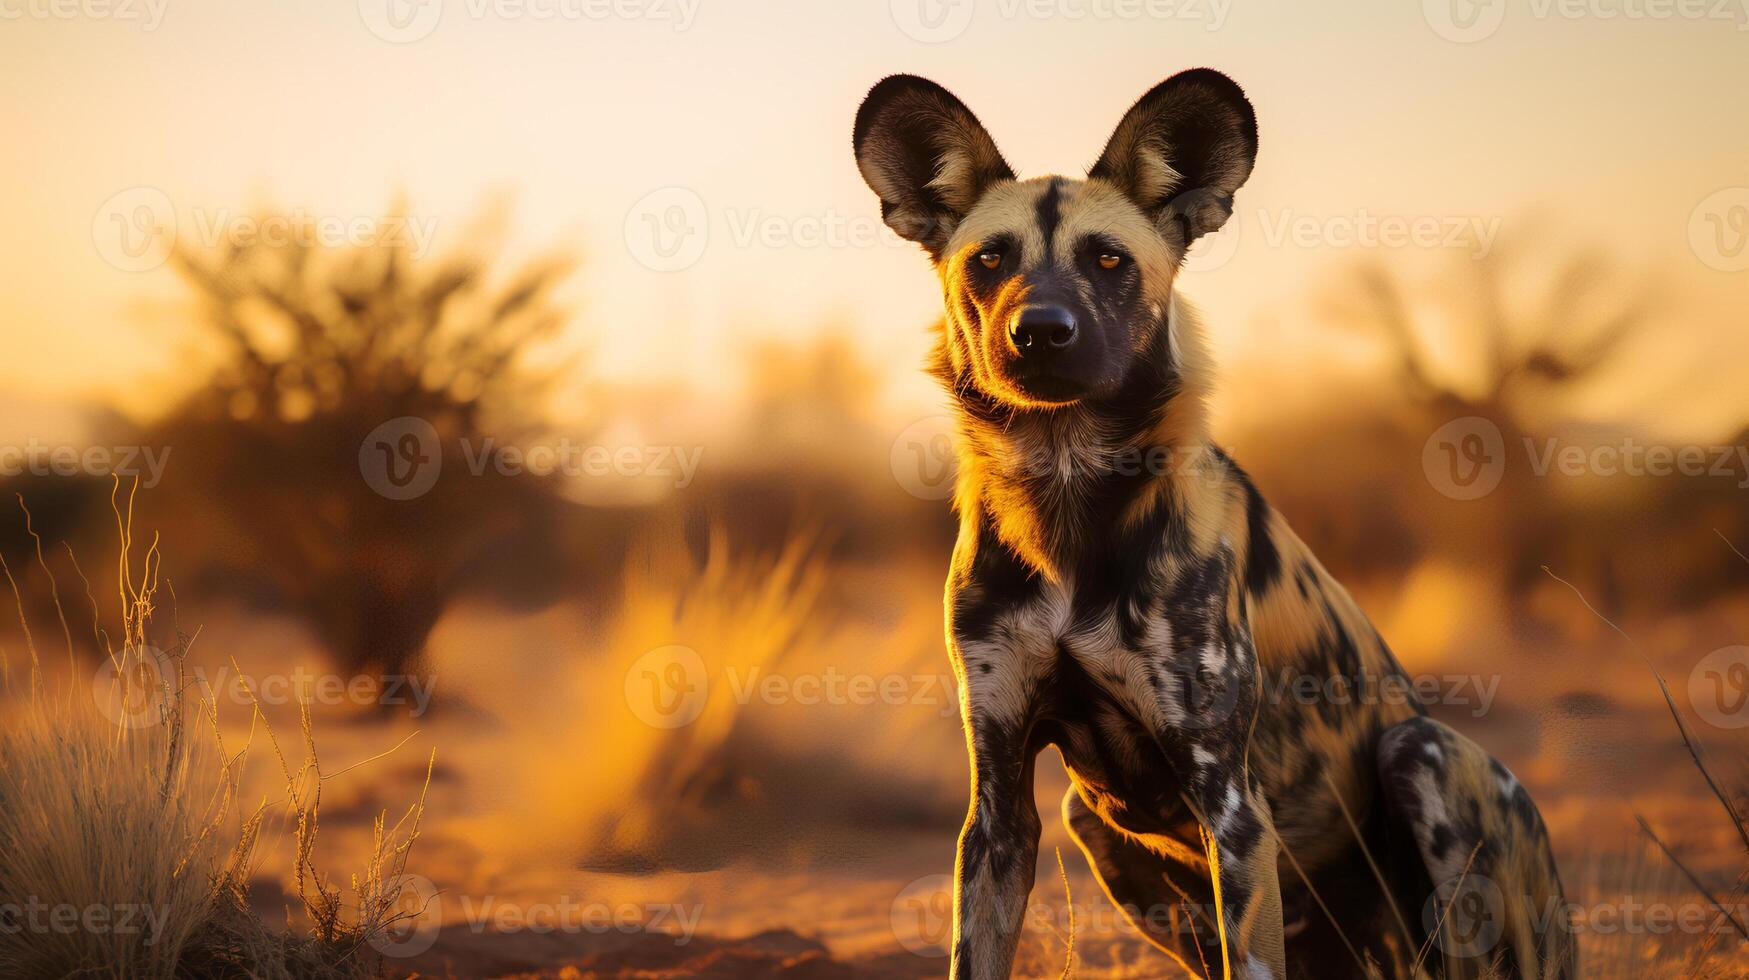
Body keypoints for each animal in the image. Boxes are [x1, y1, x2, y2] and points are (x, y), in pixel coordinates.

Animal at [853, 70, 1581, 980]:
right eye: (990, 260)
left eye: (1108, 260)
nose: (1041, 333)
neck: (1065, 491)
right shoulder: (998, 805)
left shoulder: (1231, 810)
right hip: (1095, 826)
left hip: (1423, 761)